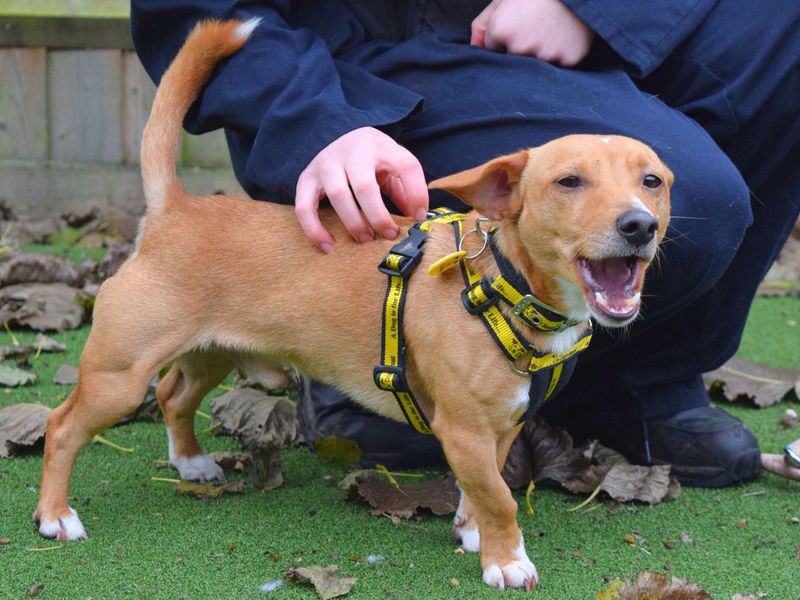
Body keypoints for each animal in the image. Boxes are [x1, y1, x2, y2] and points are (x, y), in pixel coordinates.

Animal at [32, 17, 668, 592]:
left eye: (653, 181)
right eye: (569, 182)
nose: (638, 226)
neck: (502, 282)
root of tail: (174, 207)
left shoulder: (502, 426)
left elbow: (483, 489)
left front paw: (473, 532)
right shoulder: (463, 429)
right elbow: (500, 497)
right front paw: (507, 561)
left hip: (210, 352)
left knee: (173, 396)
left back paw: (189, 462)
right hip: (118, 376)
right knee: (62, 427)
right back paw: (55, 516)